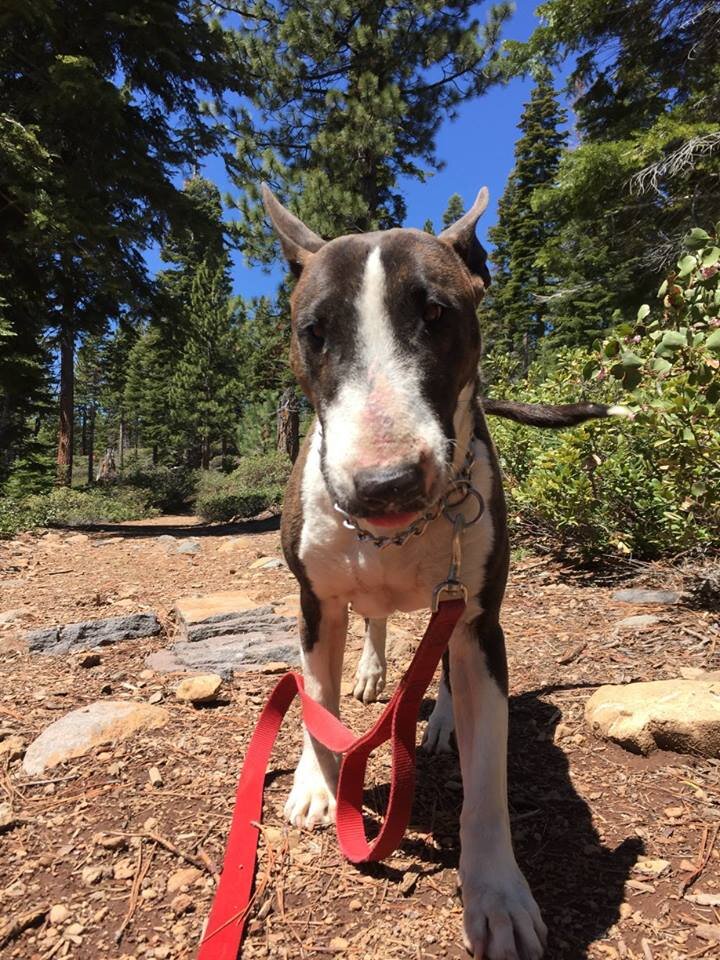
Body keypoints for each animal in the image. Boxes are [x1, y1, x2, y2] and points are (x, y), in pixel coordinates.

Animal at [262, 184, 628, 956]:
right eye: (315, 331)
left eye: (436, 314)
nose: (385, 484)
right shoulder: (315, 603)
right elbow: (317, 700)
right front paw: (317, 782)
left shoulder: (481, 623)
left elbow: (486, 781)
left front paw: (496, 895)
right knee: (373, 622)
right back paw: (373, 673)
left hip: (458, 607)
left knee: (441, 658)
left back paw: (438, 723)